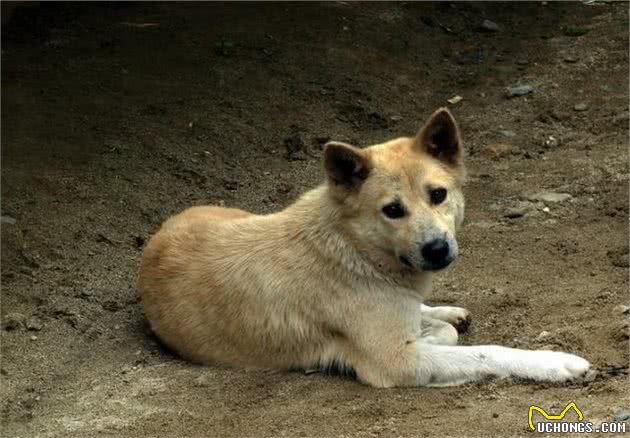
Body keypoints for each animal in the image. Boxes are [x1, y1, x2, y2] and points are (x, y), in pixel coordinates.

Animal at [138, 108, 592, 386]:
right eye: (392, 210)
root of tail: (160, 232)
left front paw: (437, 320)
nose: (437, 249)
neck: (354, 250)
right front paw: (553, 363)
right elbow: (485, 353)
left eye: (438, 195)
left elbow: (436, 327)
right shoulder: (398, 362)